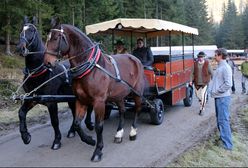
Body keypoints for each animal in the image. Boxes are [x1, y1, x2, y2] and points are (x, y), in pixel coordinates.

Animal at [44, 19, 145, 161]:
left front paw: (98, 150)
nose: (47, 63)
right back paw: (119, 134)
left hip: (137, 93)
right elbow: (77, 123)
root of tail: (135, 59)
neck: (90, 68)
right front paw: (90, 140)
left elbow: (99, 126)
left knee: (137, 109)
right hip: (119, 95)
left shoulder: (99, 102)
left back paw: (133, 132)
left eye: (56, 38)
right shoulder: (81, 100)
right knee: (122, 111)